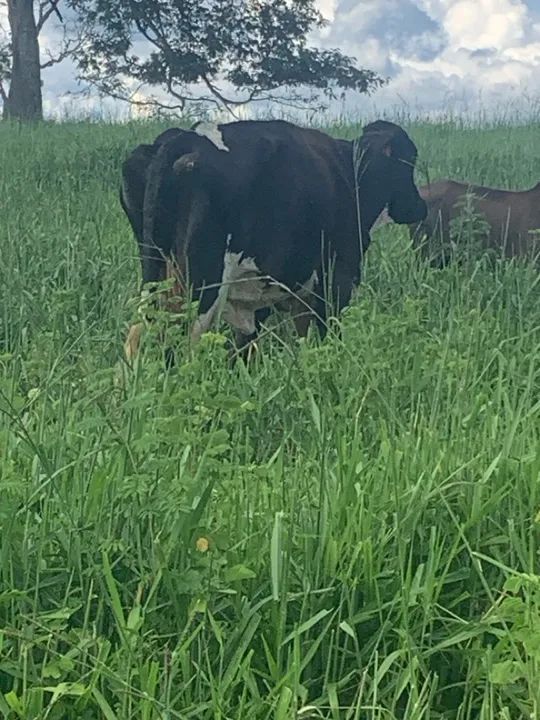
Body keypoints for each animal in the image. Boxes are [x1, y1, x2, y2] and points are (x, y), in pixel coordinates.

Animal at [120, 119, 427, 361]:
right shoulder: (337, 279)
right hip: (202, 283)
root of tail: (183, 138)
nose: (420, 206)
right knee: (178, 341)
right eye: (408, 161)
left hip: (158, 274)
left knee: (137, 336)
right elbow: (329, 334)